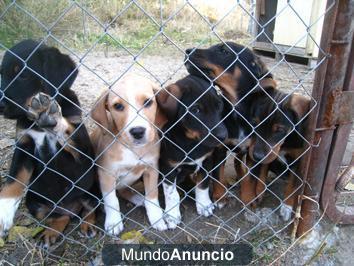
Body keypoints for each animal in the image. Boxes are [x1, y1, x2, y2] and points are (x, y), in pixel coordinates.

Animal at [0, 39, 97, 247]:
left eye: (24, 74)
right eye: (1, 74)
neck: (36, 124)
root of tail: (69, 208)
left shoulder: (82, 153)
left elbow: (68, 131)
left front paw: (53, 116)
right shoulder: (24, 145)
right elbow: (13, 181)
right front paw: (3, 213)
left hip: (91, 191)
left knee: (90, 209)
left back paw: (88, 225)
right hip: (34, 201)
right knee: (59, 217)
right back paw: (51, 233)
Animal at [91, 72, 169, 235]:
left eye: (148, 102)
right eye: (118, 106)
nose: (138, 131)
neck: (133, 149)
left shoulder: (152, 169)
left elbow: (152, 195)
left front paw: (156, 217)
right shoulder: (106, 173)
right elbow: (111, 200)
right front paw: (113, 222)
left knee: (124, 191)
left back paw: (139, 199)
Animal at [156, 75, 227, 229]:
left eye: (219, 105)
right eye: (195, 110)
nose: (224, 135)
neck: (191, 142)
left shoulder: (206, 160)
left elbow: (203, 184)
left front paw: (204, 205)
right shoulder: (168, 167)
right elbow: (172, 194)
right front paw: (172, 215)